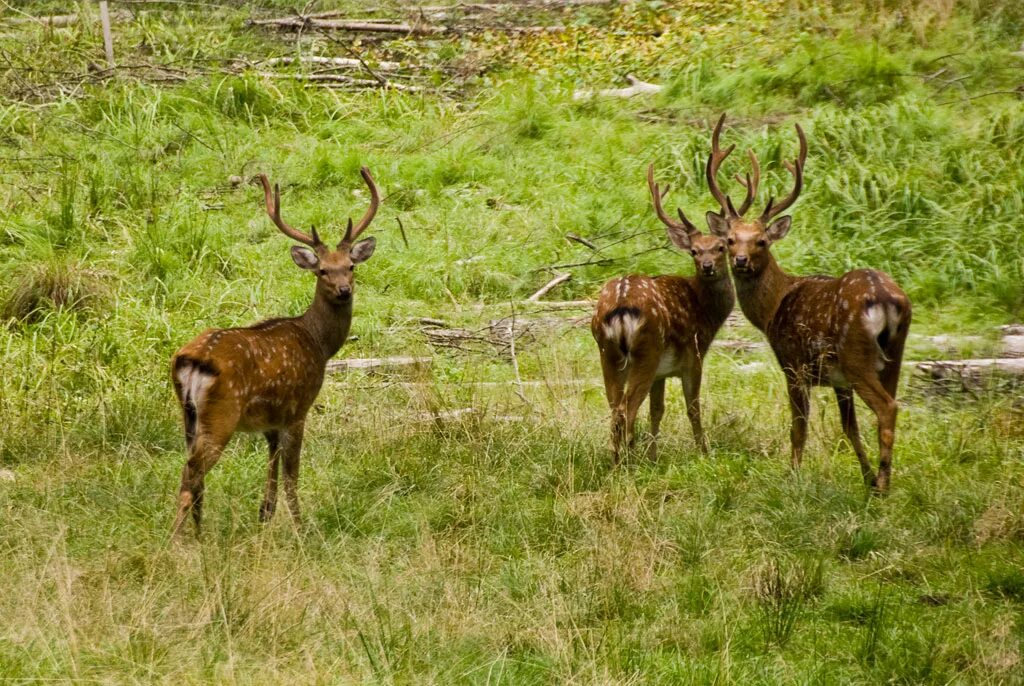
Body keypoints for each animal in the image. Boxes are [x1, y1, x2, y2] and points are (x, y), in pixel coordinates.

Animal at [172, 166, 380, 536]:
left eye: (351, 266)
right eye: (322, 270)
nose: (343, 290)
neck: (318, 342)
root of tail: (193, 360)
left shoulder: (270, 420)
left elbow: (271, 467)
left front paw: (265, 515)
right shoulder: (298, 408)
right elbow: (291, 474)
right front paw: (300, 527)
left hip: (188, 417)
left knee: (191, 471)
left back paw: (198, 530)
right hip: (221, 414)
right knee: (192, 470)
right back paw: (180, 539)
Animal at [589, 161, 741, 462]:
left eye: (720, 247)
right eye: (694, 251)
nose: (708, 267)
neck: (704, 311)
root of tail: (620, 307)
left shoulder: (661, 373)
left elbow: (656, 411)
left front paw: (653, 455)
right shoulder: (694, 357)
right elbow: (693, 408)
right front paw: (703, 452)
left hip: (607, 353)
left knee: (615, 409)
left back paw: (616, 460)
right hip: (646, 351)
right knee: (626, 410)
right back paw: (628, 460)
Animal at [704, 116, 913, 495]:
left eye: (761, 241)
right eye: (729, 240)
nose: (740, 261)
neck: (772, 308)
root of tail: (886, 299)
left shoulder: (794, 364)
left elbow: (797, 427)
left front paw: (793, 477)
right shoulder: (838, 380)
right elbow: (849, 429)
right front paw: (865, 478)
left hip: (856, 353)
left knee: (887, 408)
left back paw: (885, 485)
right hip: (894, 353)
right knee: (890, 406)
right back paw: (881, 480)